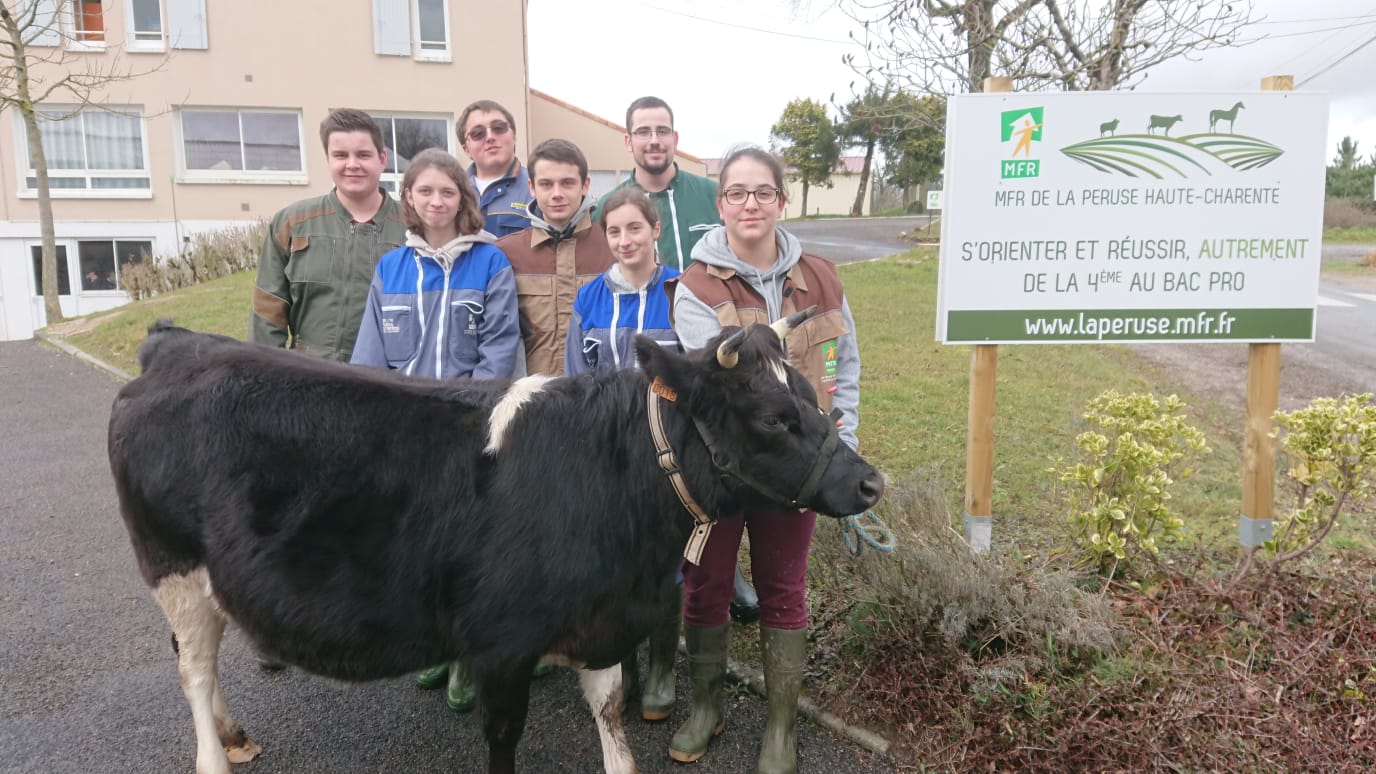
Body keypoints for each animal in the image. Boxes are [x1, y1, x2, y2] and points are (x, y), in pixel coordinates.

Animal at [107, 315, 880, 771]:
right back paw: (214, 754)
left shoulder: (600, 623)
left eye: (812, 395)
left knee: (198, 658)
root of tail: (176, 345)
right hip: (172, 566)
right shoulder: (502, 645)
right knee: (194, 669)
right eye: (774, 417)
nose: (870, 482)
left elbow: (613, 721)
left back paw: (233, 732)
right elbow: (505, 739)